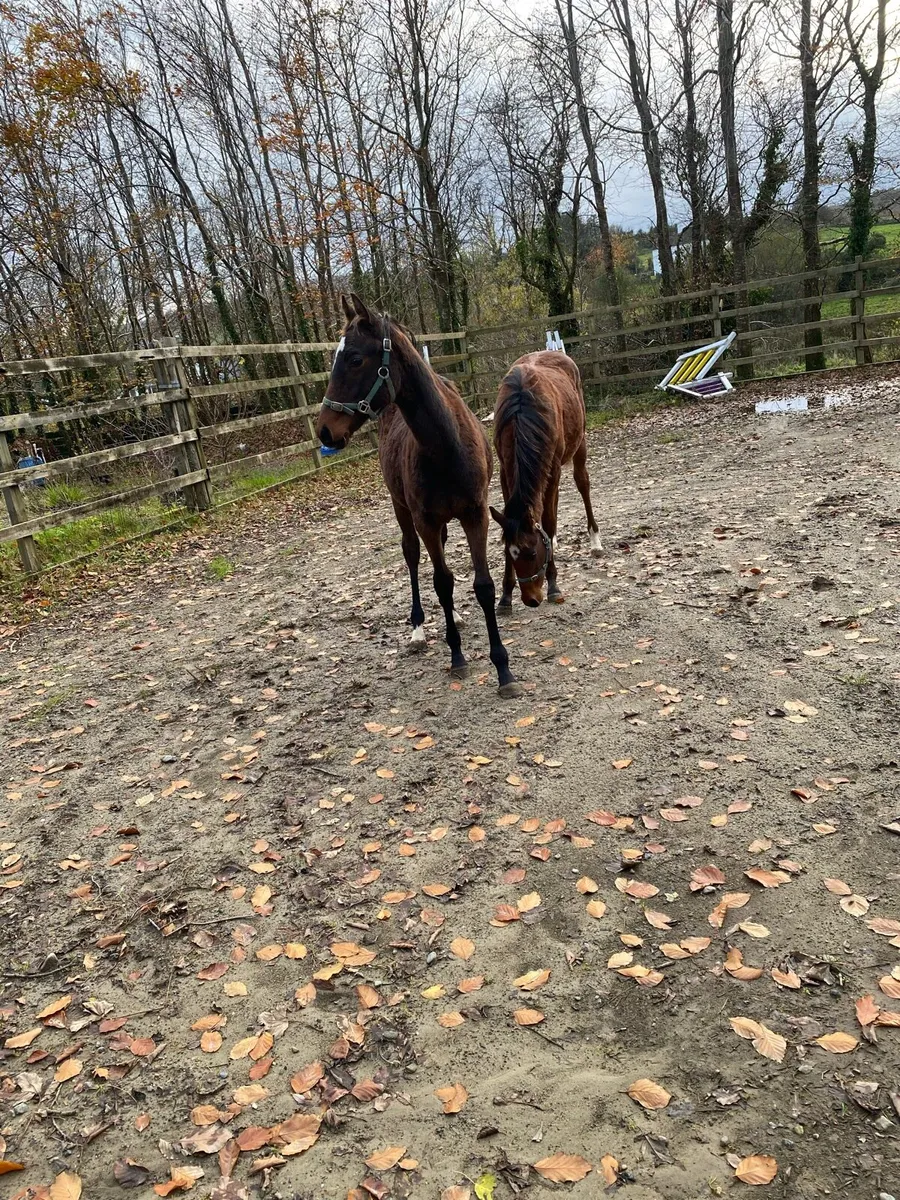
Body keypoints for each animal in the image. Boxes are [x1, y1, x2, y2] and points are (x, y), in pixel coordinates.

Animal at [316, 294, 519, 697]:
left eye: (355, 359)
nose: (325, 431)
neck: (446, 446)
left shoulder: (475, 513)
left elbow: (483, 586)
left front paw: (503, 668)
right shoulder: (424, 519)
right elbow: (441, 583)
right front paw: (457, 657)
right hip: (402, 509)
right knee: (411, 555)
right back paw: (418, 628)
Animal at [489, 351, 602, 609]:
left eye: (532, 553)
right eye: (511, 553)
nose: (531, 599)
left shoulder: (553, 467)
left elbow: (548, 522)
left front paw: (553, 585)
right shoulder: (505, 471)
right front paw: (505, 595)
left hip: (579, 443)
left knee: (583, 483)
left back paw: (595, 541)